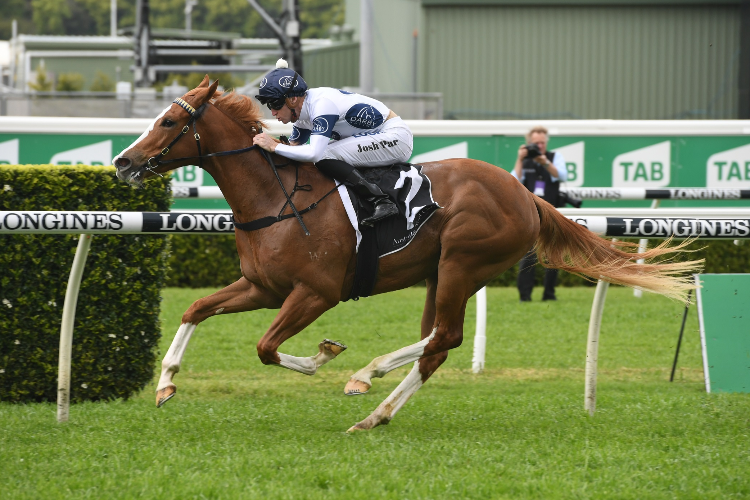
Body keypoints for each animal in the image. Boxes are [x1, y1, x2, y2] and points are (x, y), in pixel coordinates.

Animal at [114, 76, 704, 432]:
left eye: (169, 122)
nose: (123, 162)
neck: (275, 198)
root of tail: (527, 195)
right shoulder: (263, 287)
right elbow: (196, 309)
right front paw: (165, 384)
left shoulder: (316, 293)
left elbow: (266, 348)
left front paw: (326, 355)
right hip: (442, 271)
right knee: (437, 344)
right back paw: (375, 410)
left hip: (462, 263)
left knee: (445, 337)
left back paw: (366, 380)